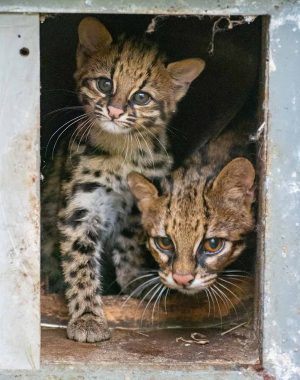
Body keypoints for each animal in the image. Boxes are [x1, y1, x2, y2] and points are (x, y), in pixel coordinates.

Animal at [42, 17, 205, 342]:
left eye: (141, 97)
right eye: (105, 83)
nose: (115, 111)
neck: (121, 150)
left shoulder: (139, 205)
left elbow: (130, 246)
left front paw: (133, 281)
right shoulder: (81, 208)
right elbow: (80, 265)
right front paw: (88, 317)